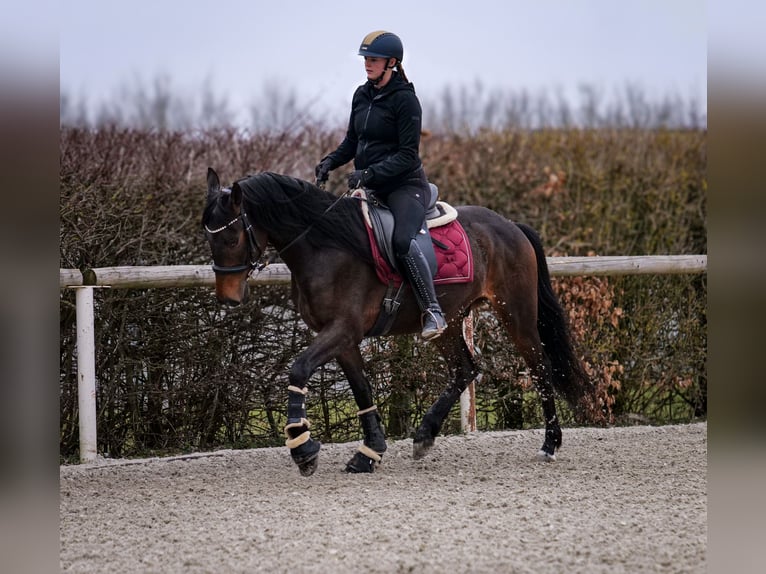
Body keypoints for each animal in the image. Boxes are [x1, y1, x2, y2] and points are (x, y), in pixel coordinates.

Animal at [201, 166, 596, 476]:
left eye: (232, 237)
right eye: (209, 237)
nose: (228, 297)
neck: (326, 246)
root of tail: (509, 225)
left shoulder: (342, 329)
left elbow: (298, 369)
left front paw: (303, 447)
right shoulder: (343, 338)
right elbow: (361, 388)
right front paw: (369, 452)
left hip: (516, 314)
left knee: (541, 368)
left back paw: (550, 444)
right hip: (447, 322)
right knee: (465, 368)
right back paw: (424, 436)